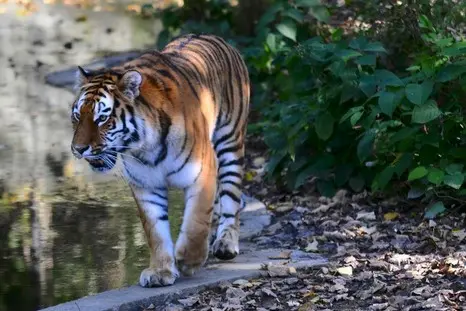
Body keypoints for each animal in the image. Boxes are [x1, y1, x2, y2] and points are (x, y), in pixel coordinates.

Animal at [68, 33, 249, 288]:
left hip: (230, 142)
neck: (146, 147)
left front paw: (188, 260)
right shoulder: (146, 186)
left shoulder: (203, 172)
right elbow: (156, 232)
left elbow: (195, 220)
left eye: (102, 118)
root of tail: (211, 36)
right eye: (76, 116)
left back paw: (226, 243)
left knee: (231, 198)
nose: (78, 149)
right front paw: (160, 271)